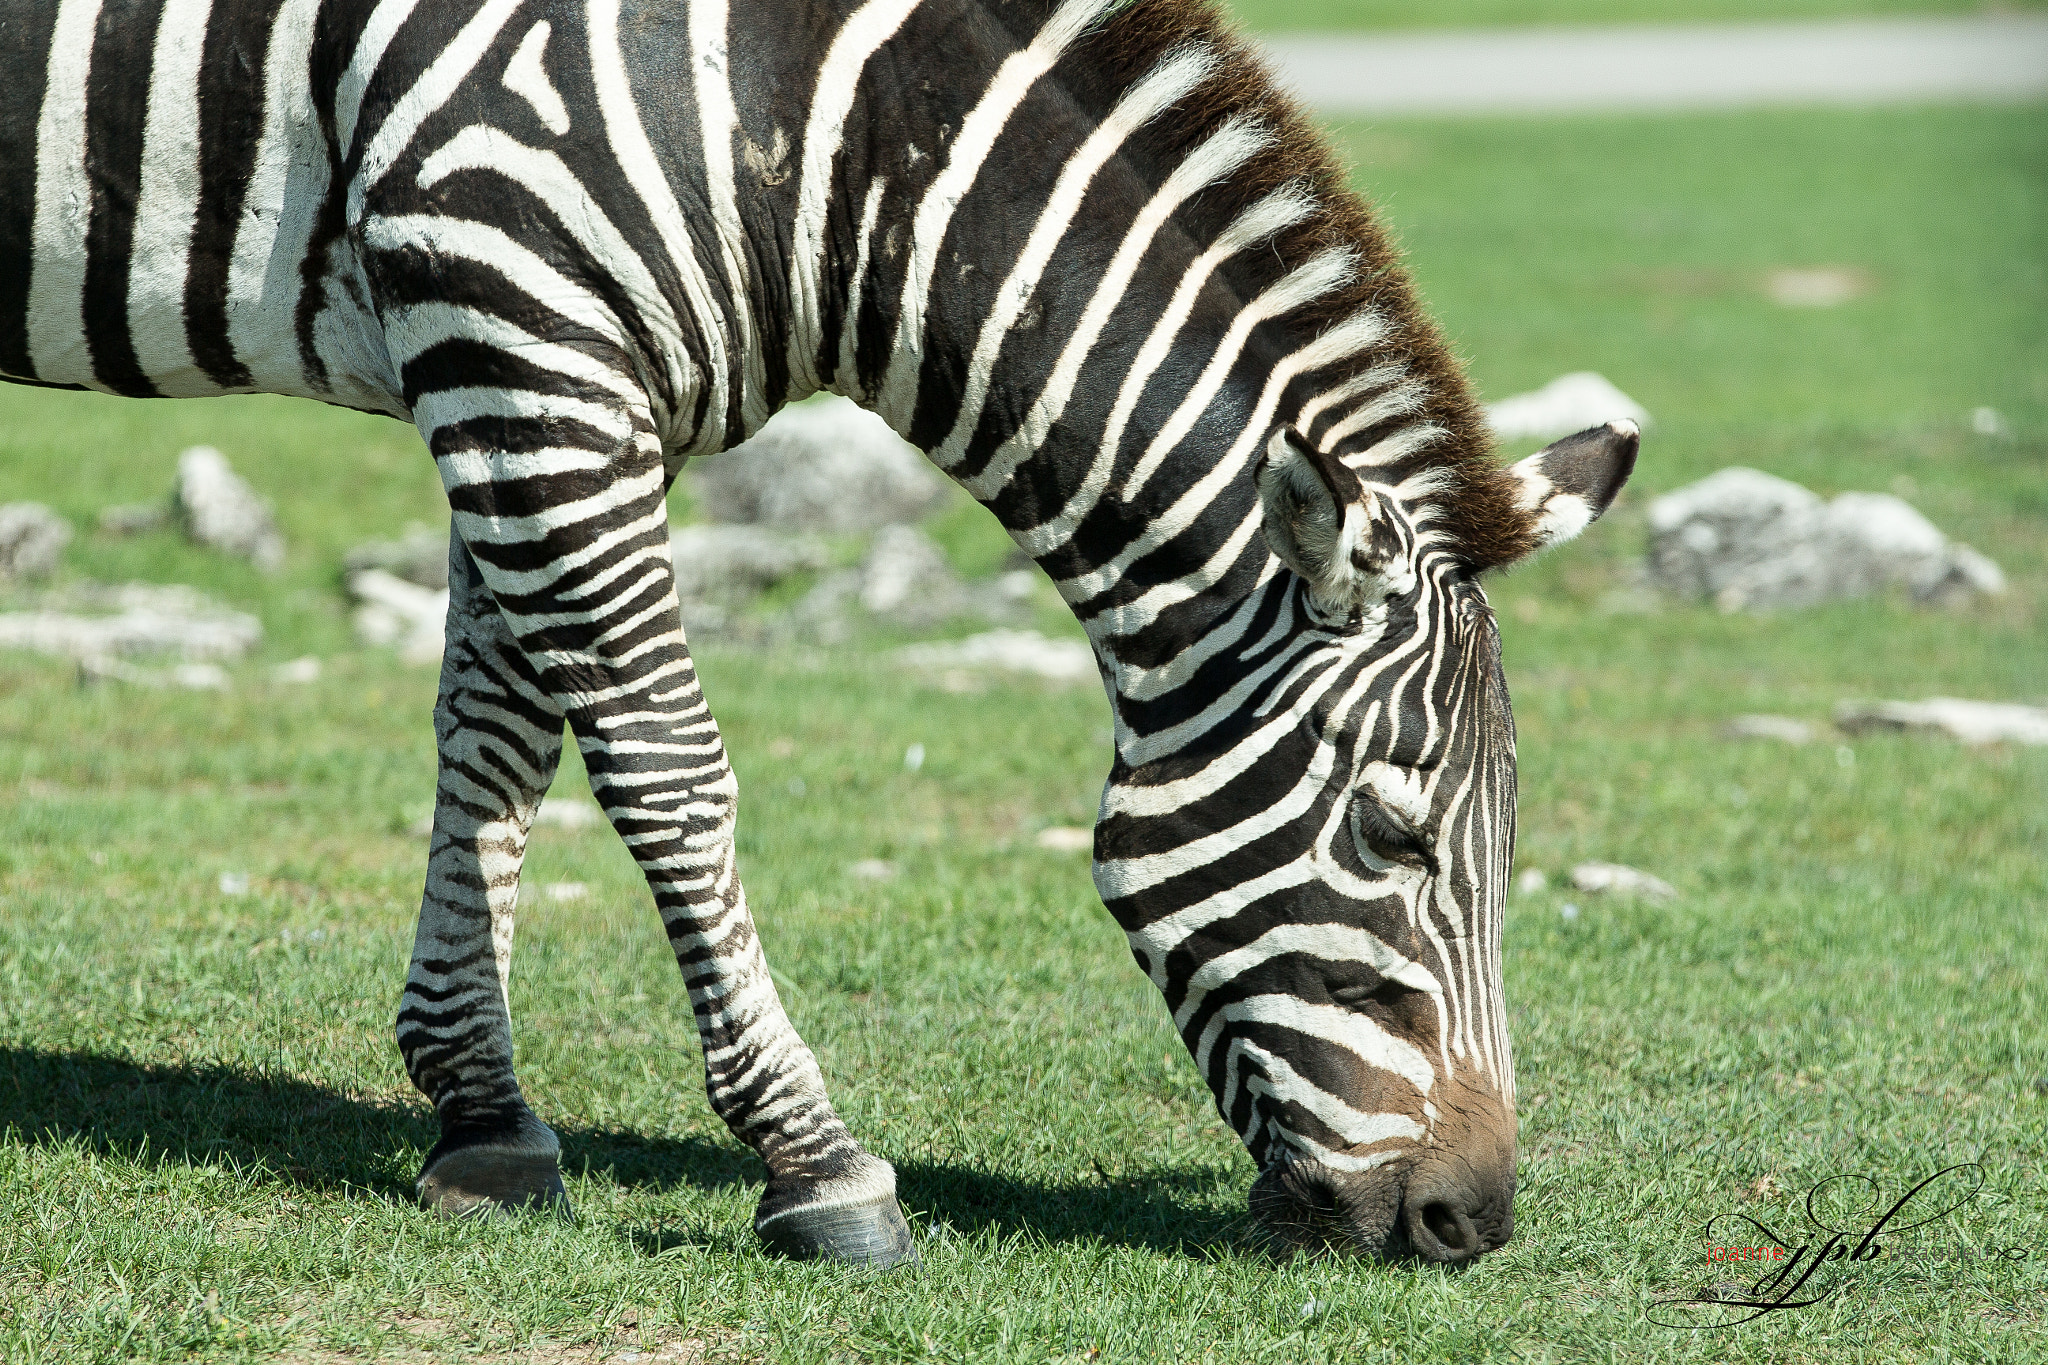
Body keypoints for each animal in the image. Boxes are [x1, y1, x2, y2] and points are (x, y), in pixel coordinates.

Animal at [1, 0, 1638, 1266]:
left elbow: (499, 733)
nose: (1471, 1224)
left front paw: (481, 1116)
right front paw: (817, 1164)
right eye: (1391, 835)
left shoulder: (551, 378)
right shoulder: (520, 330)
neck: (805, 126)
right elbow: (664, 763)